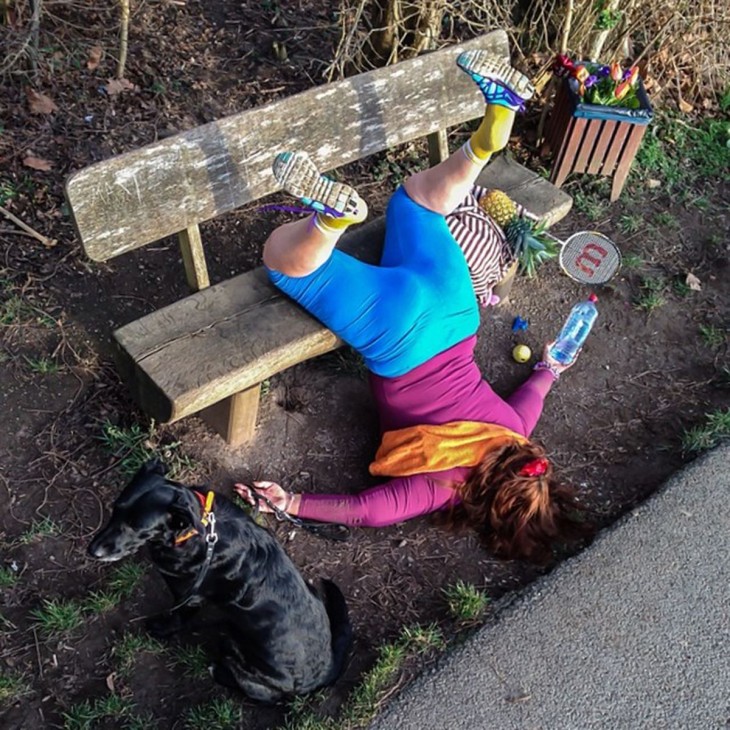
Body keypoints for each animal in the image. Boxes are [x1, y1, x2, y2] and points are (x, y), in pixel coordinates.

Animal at [89, 458, 352, 704]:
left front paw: (162, 629)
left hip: (238, 646)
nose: (92, 551)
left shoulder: (189, 596)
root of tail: (323, 673)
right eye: (116, 509)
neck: (196, 529)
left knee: (258, 693)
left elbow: (177, 616)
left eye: (136, 527)